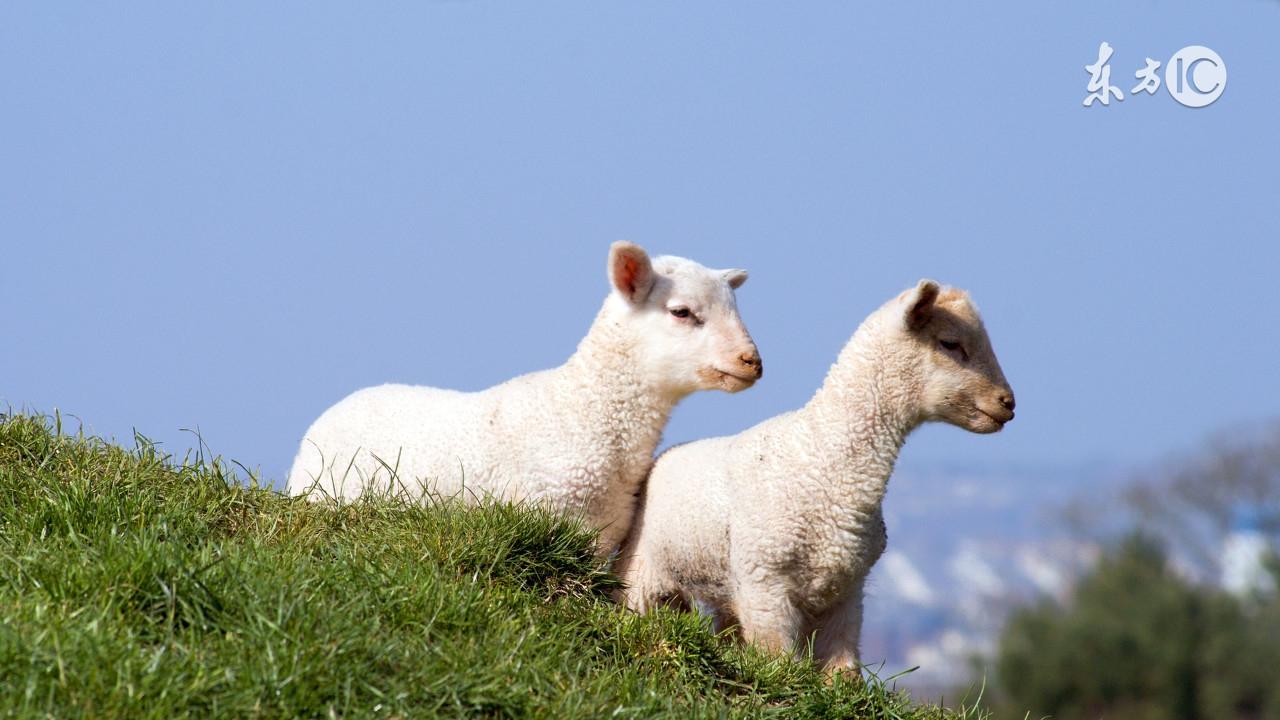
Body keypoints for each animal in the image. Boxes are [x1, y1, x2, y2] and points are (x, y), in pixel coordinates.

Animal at [614, 279, 1013, 666]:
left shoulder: (846, 590)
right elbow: (776, 660)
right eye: (950, 343)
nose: (1008, 403)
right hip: (643, 569)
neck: (821, 456)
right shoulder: (766, 583)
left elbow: (842, 672)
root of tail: (666, 455)